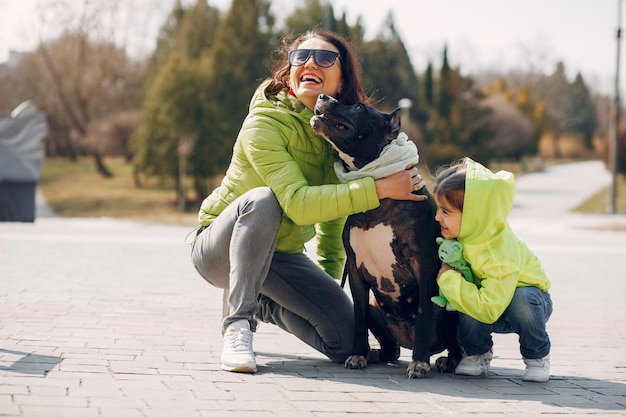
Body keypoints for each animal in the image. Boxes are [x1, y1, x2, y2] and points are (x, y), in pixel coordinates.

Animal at [310, 93, 460, 376]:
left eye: (358, 106)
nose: (323, 96)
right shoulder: (356, 271)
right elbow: (357, 317)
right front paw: (358, 354)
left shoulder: (423, 266)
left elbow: (422, 314)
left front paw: (419, 362)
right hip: (375, 308)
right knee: (392, 349)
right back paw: (375, 354)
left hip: (448, 307)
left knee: (456, 344)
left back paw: (446, 360)